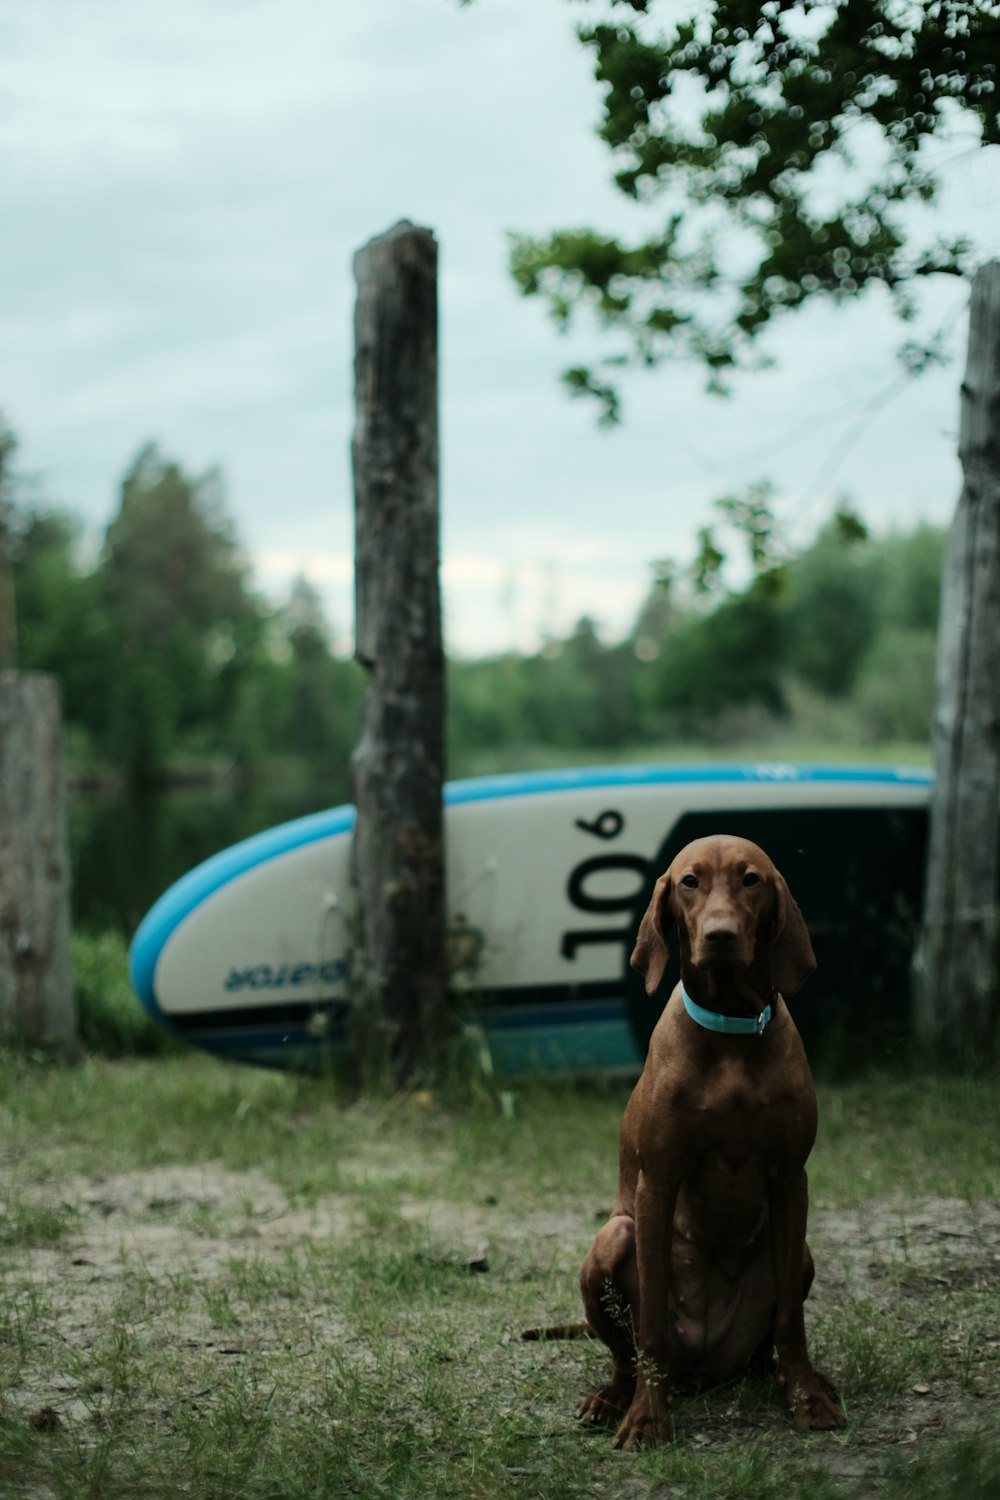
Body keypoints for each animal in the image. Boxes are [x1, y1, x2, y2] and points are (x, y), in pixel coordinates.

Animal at [575, 840, 839, 1446]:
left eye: (751, 880)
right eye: (689, 882)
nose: (720, 935)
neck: (731, 1029)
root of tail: (704, 1367)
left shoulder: (792, 1179)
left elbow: (791, 1318)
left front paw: (805, 1396)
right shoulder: (657, 1182)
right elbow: (650, 1326)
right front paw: (647, 1417)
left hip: (799, 1254)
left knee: (768, 1343)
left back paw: (791, 1375)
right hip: (612, 1237)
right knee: (628, 1356)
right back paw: (614, 1398)